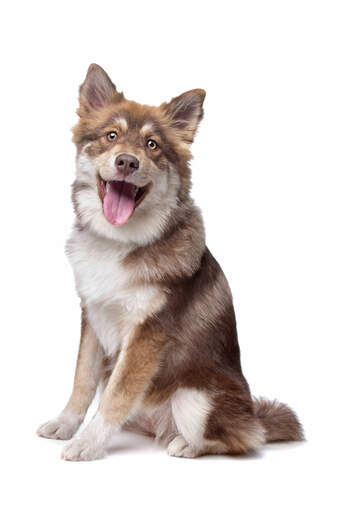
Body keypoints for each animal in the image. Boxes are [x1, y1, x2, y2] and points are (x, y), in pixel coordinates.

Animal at [37, 63, 302, 460]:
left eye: (152, 145)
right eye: (111, 135)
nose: (127, 162)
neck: (121, 241)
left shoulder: (148, 332)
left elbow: (116, 395)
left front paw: (87, 443)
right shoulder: (93, 315)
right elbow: (82, 379)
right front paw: (65, 424)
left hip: (197, 399)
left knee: (241, 438)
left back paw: (186, 444)